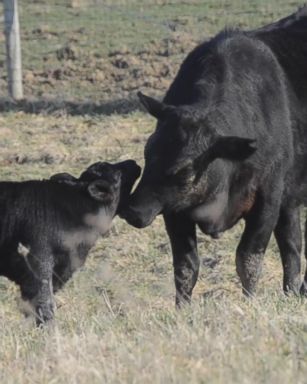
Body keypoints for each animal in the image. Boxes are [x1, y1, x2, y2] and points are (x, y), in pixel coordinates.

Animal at [121, 6, 307, 306]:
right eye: (148, 152)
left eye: (186, 170)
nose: (133, 211)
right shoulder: (174, 209)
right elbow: (186, 266)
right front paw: (182, 308)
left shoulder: (268, 198)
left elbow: (248, 258)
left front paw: (249, 303)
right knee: (291, 244)